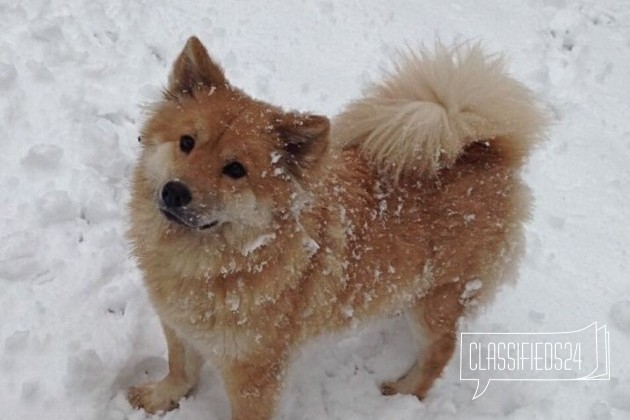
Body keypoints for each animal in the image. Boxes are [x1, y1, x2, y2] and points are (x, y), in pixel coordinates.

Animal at [127, 36, 548, 420]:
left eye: (235, 170)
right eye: (186, 142)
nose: (175, 192)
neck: (218, 260)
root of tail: (486, 150)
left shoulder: (255, 370)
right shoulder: (179, 326)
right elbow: (180, 369)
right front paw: (162, 397)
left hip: (439, 298)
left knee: (439, 351)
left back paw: (405, 392)